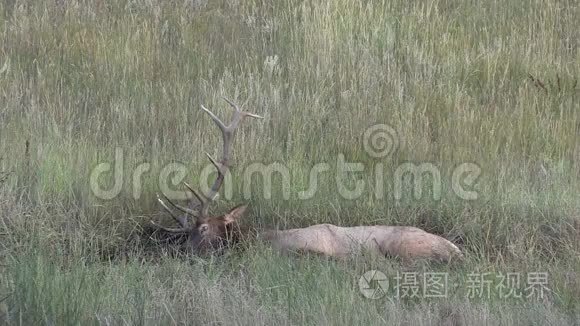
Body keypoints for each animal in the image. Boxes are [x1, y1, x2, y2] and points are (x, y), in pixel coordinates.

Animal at [152, 98, 464, 264]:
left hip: (406, 249)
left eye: (203, 228)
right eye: (186, 233)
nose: (182, 252)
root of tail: (457, 251)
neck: (260, 240)